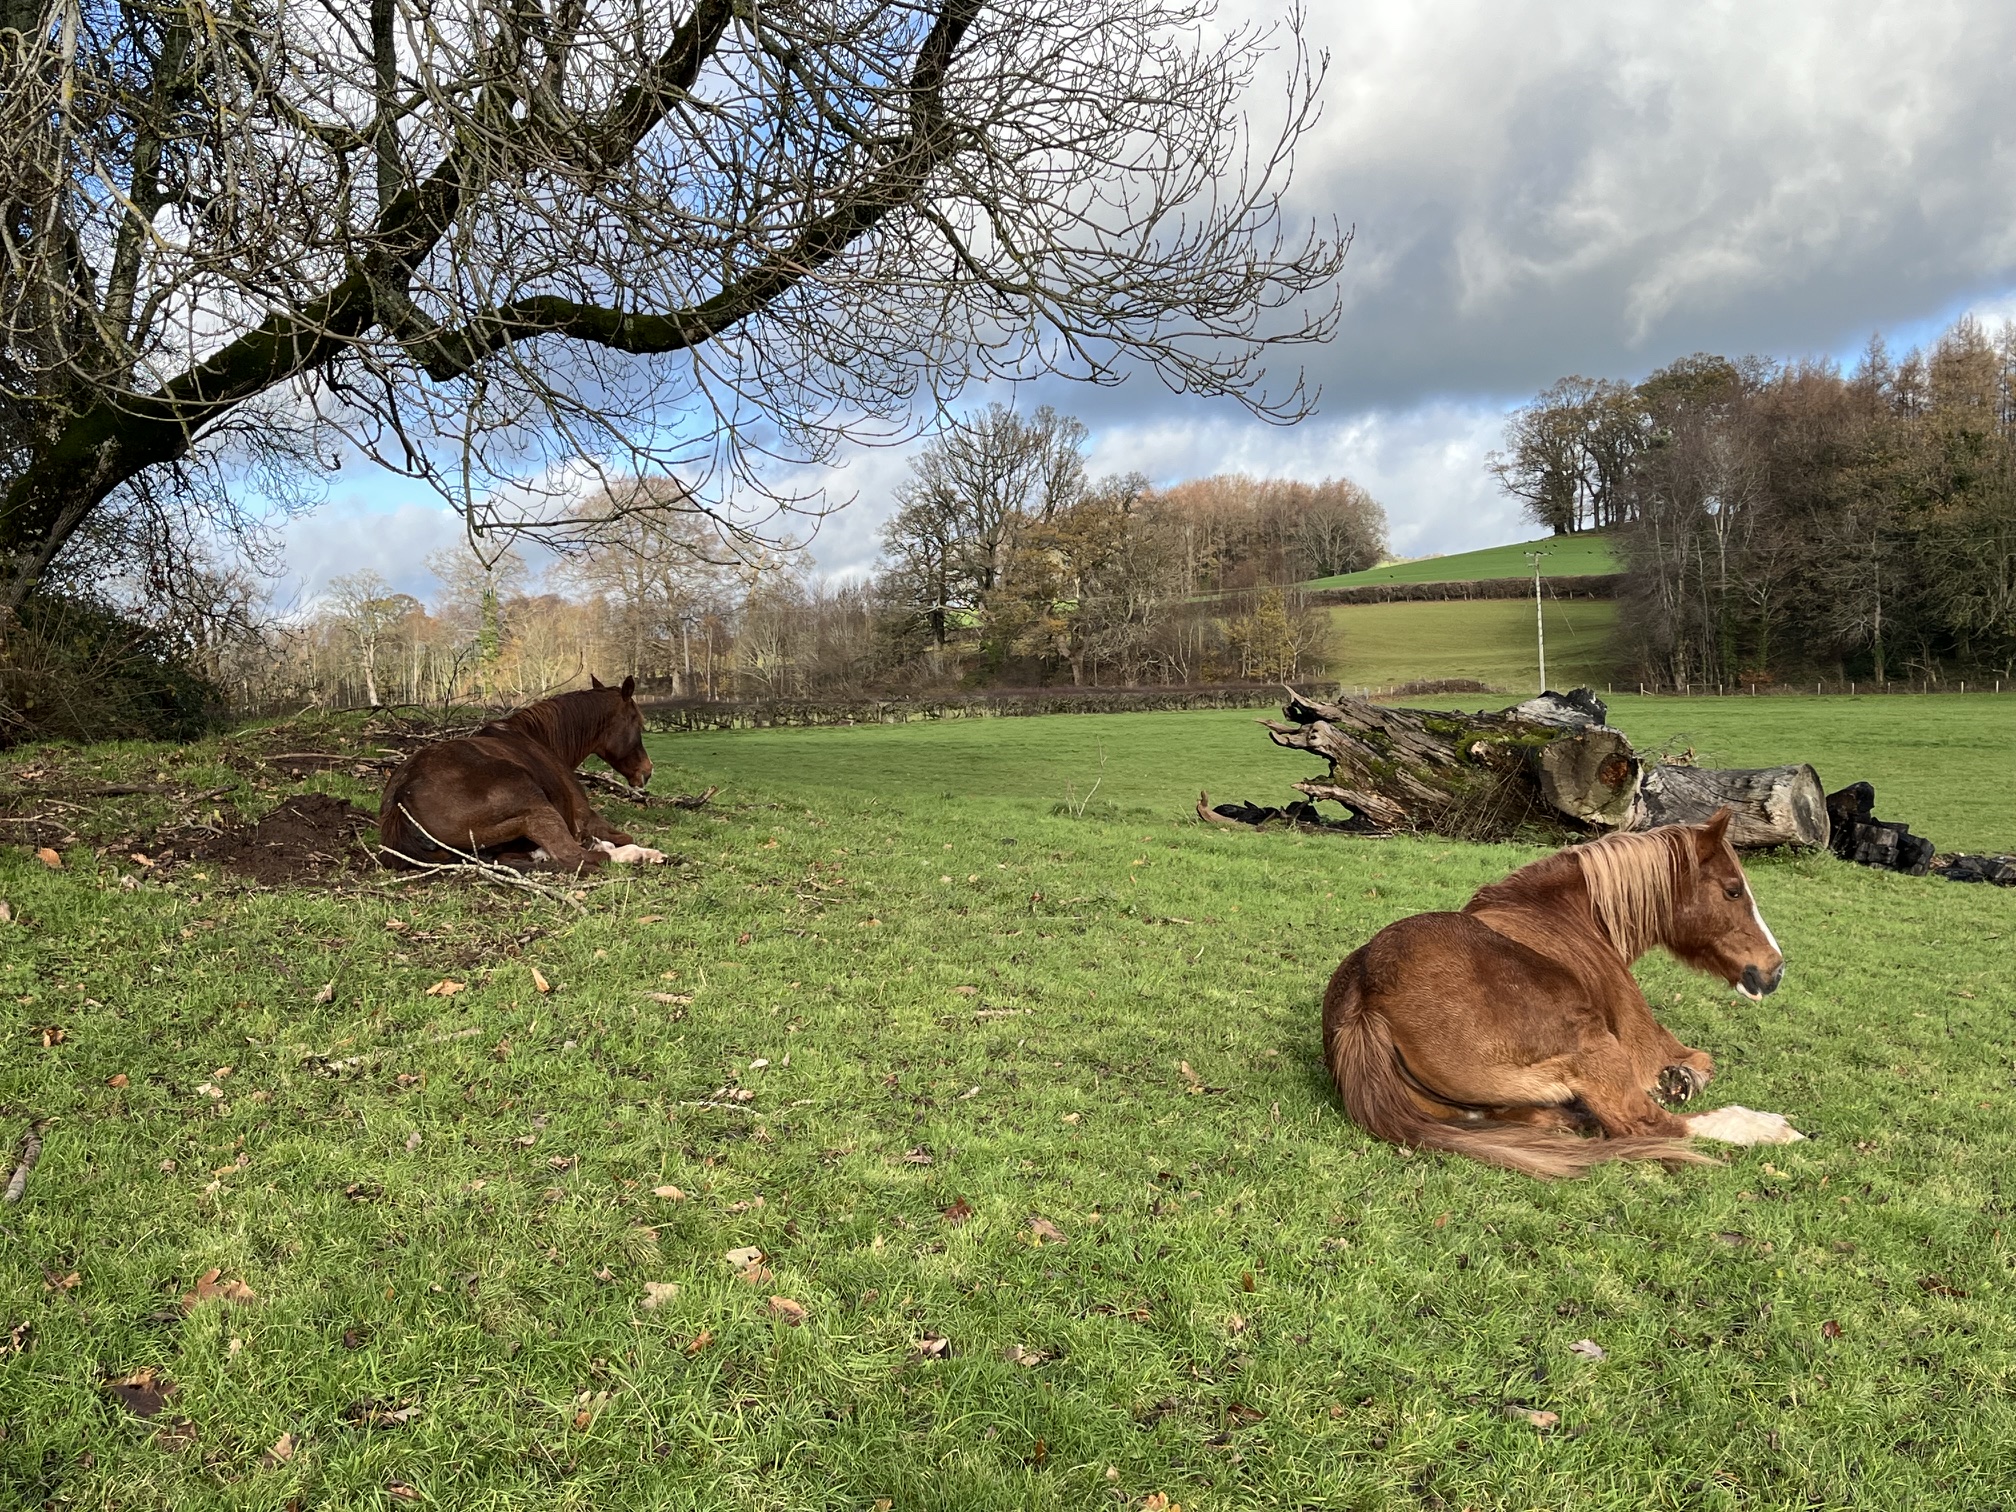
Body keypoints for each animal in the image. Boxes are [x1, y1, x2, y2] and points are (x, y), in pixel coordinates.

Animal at [377, 676, 666, 872]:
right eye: (638, 722)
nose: (647, 771)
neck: (539, 739)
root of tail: (402, 795)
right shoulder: (587, 819)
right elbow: (622, 837)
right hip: (535, 807)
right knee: (577, 856)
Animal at [1321, 809, 1803, 1179]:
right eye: (1733, 890)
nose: (1774, 970)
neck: (1569, 916)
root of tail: (1365, 997)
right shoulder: (1645, 1045)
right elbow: (1701, 1063)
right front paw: (1680, 1080)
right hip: (1593, 1049)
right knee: (1649, 1125)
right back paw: (1766, 1127)